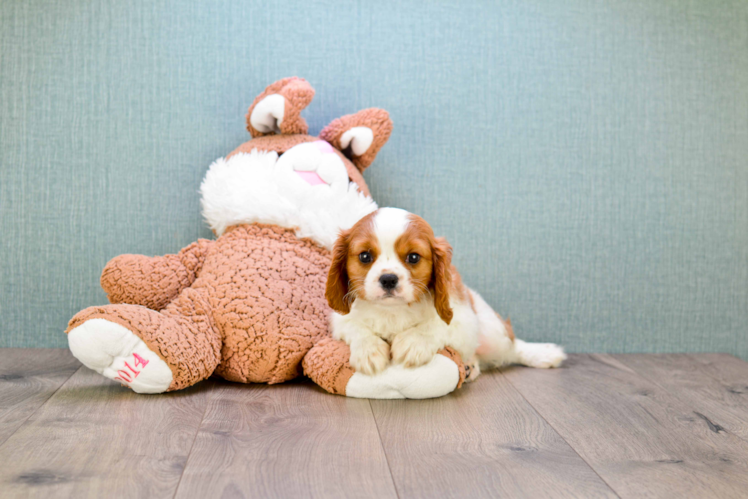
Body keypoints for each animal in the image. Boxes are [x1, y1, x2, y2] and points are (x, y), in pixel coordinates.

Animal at [324, 208, 564, 378]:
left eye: (413, 257)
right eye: (365, 256)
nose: (389, 278)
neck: (394, 310)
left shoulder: (464, 318)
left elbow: (439, 325)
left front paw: (414, 342)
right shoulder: (341, 320)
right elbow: (356, 327)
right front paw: (369, 351)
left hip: (493, 333)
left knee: (513, 348)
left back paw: (543, 354)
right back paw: (469, 367)